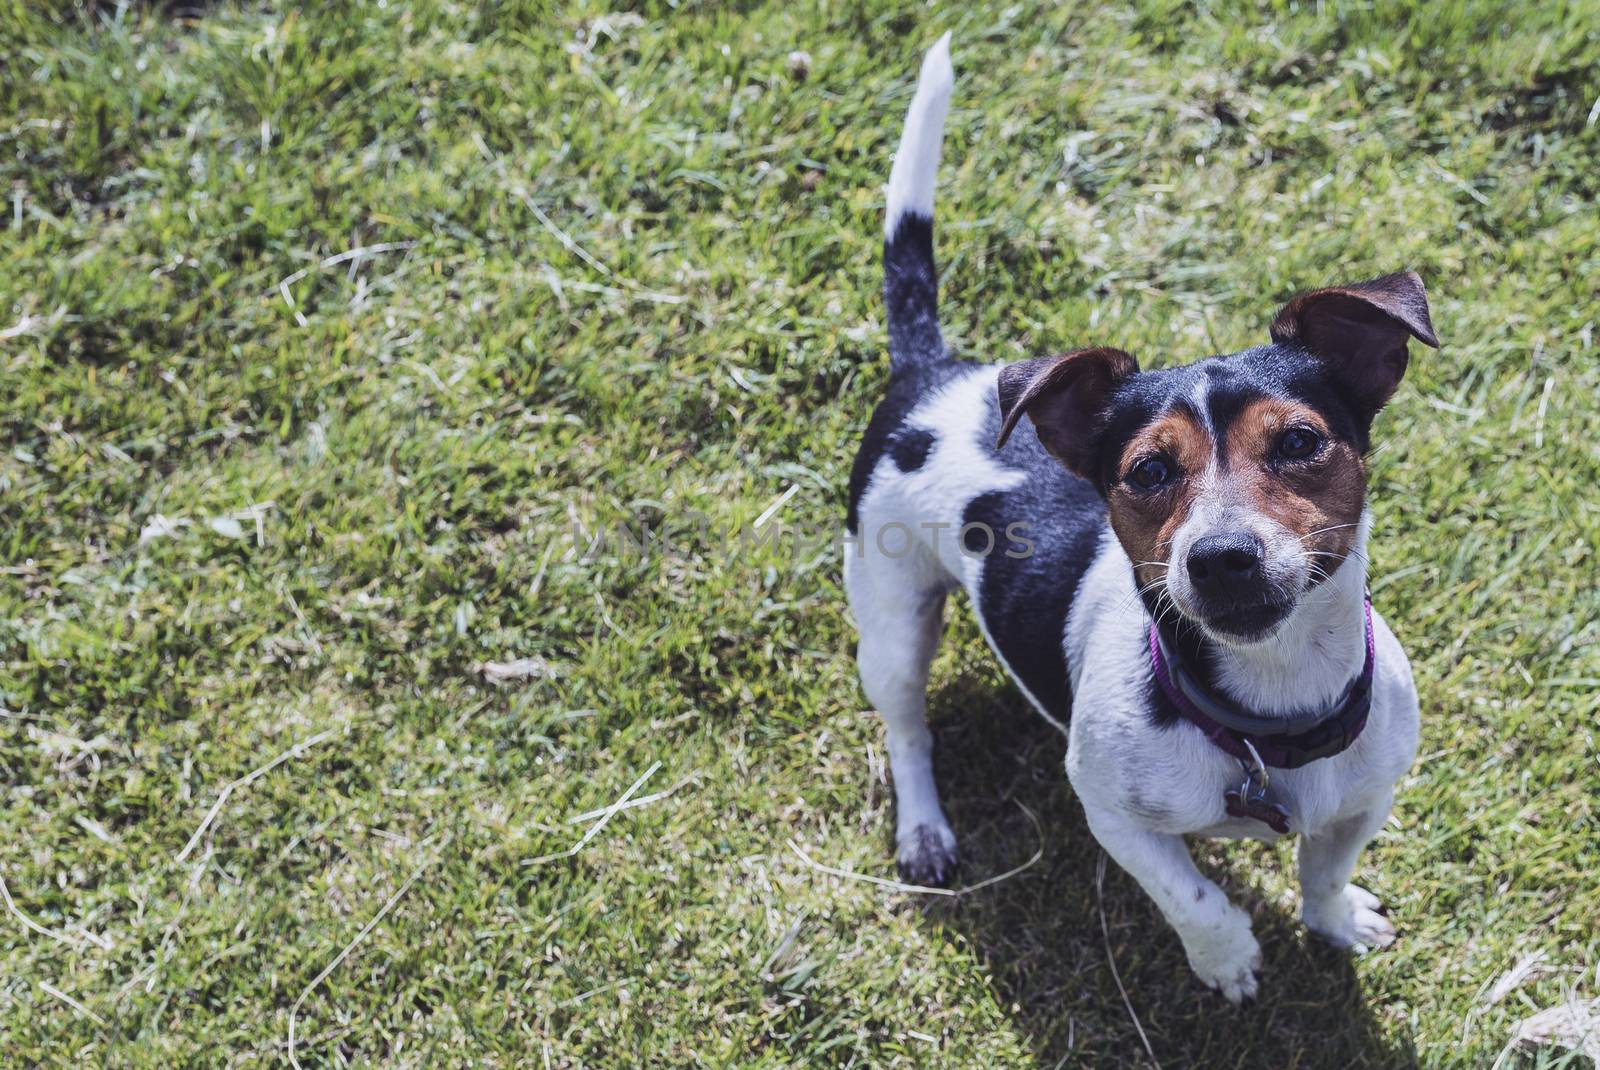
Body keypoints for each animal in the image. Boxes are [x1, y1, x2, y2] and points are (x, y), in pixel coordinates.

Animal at [844, 35, 1446, 1004]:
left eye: (1300, 442)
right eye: (1149, 471)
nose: (1222, 557)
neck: (1267, 717)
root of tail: (935, 370)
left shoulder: (1367, 795)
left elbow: (1324, 867)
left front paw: (1333, 920)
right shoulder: (1110, 811)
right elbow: (1191, 893)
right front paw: (1229, 959)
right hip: (891, 616)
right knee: (906, 727)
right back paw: (925, 830)